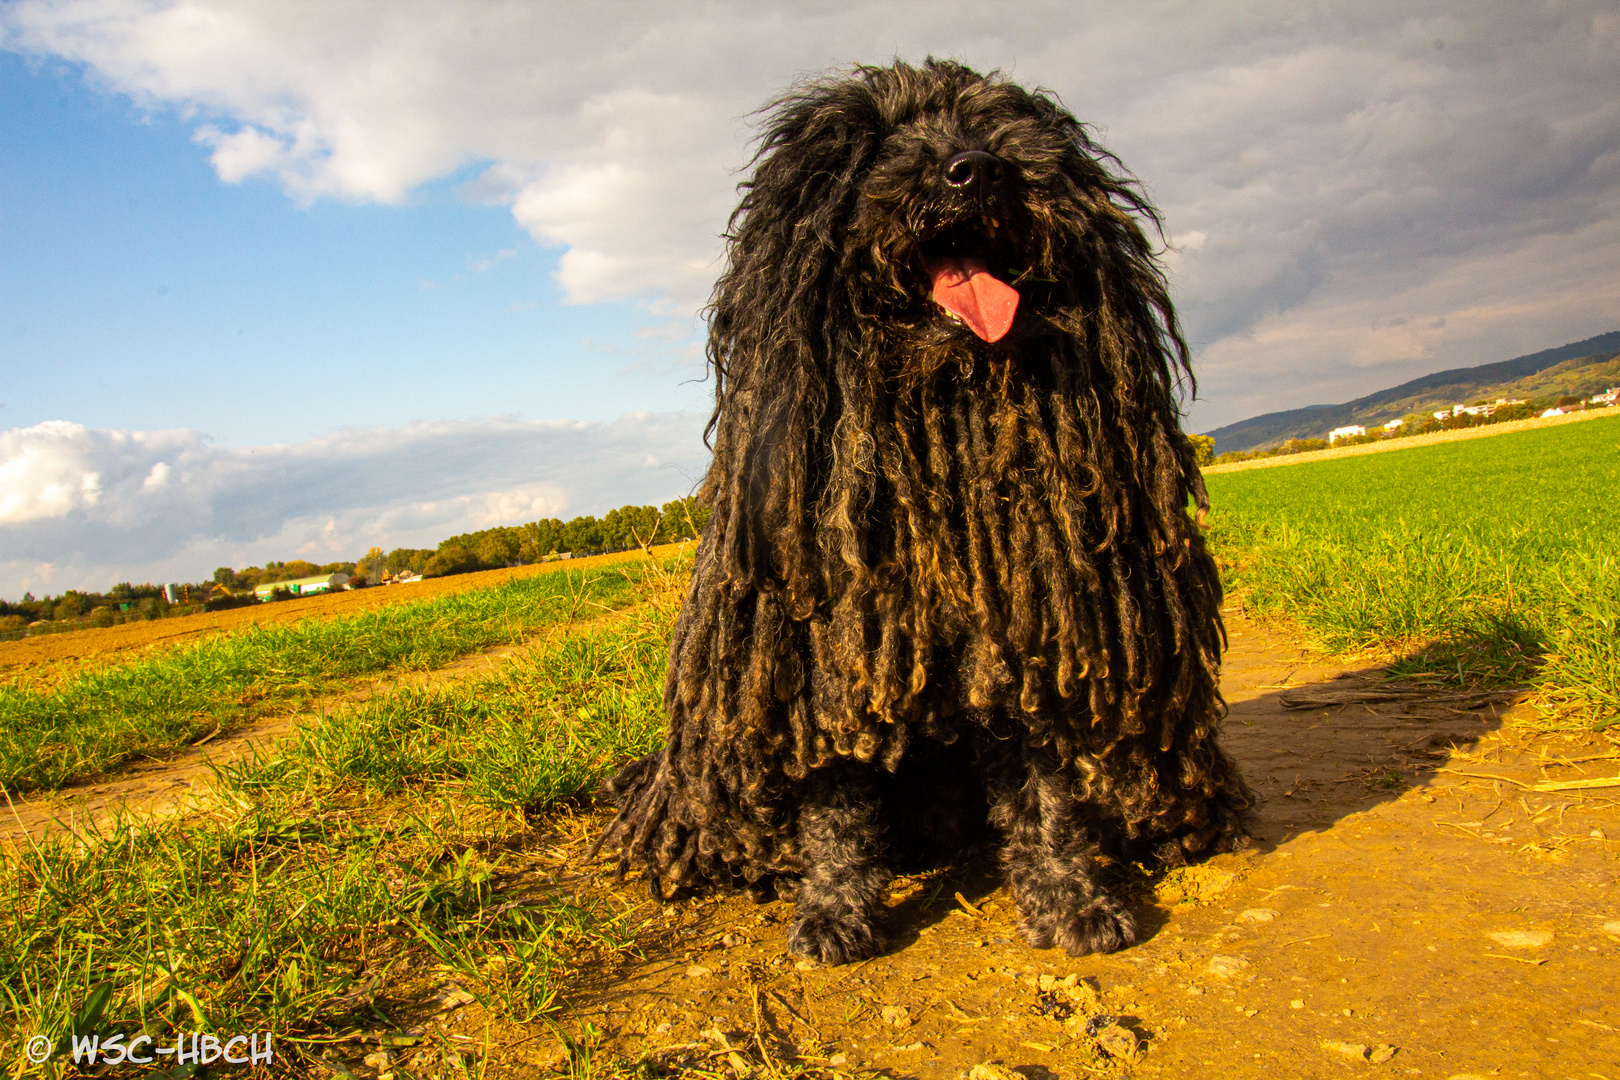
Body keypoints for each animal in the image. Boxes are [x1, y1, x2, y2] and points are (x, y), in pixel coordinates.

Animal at [596, 59, 1250, 965]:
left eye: (995, 126)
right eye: (877, 147)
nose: (974, 170)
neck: (936, 418)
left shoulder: (1028, 635)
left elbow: (1046, 798)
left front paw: (1071, 899)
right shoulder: (824, 664)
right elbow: (837, 809)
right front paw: (833, 912)